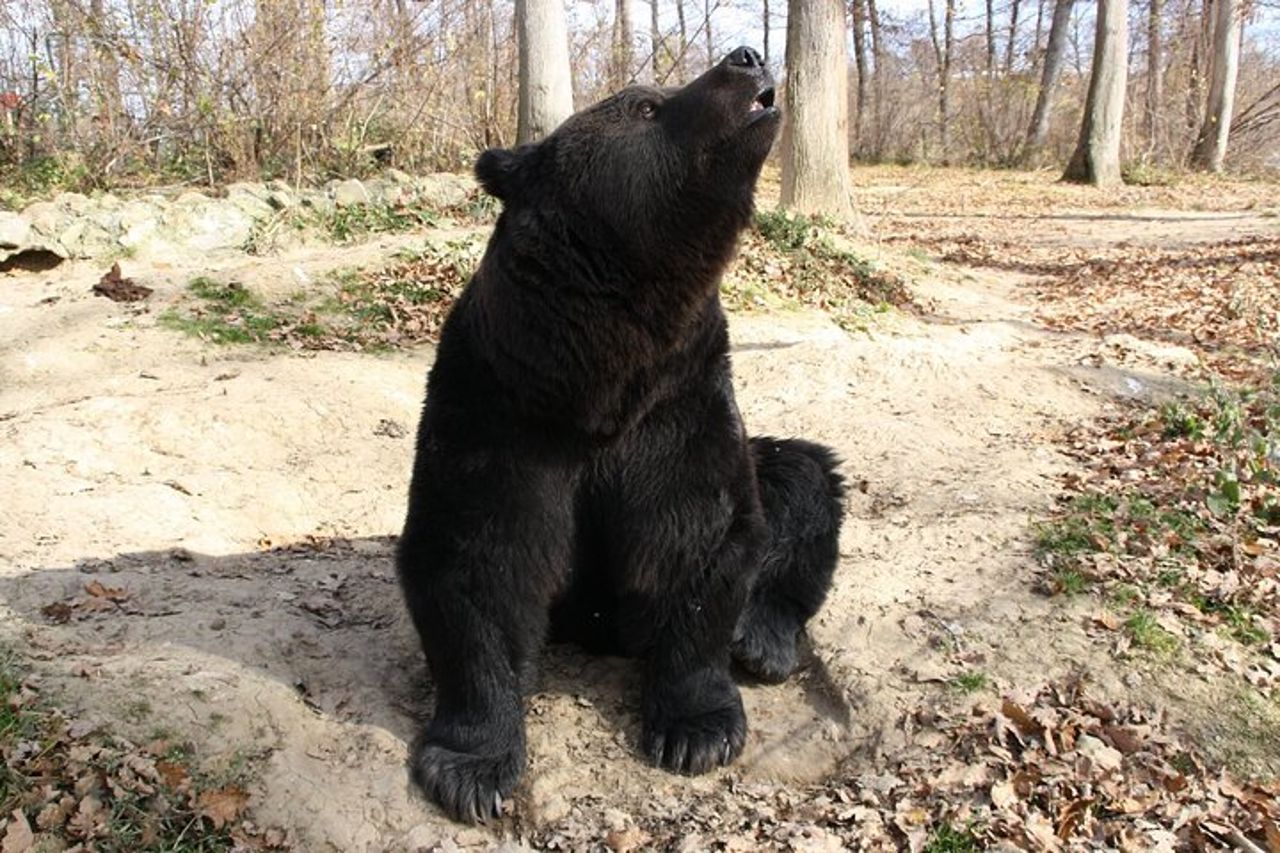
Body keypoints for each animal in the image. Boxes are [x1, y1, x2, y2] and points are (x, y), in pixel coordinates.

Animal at [396, 45, 846, 823]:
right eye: (645, 104)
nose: (747, 56)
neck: (601, 376)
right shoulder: (497, 404)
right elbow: (476, 559)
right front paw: (469, 769)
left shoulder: (679, 402)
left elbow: (697, 536)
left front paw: (695, 730)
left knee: (804, 478)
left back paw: (761, 638)